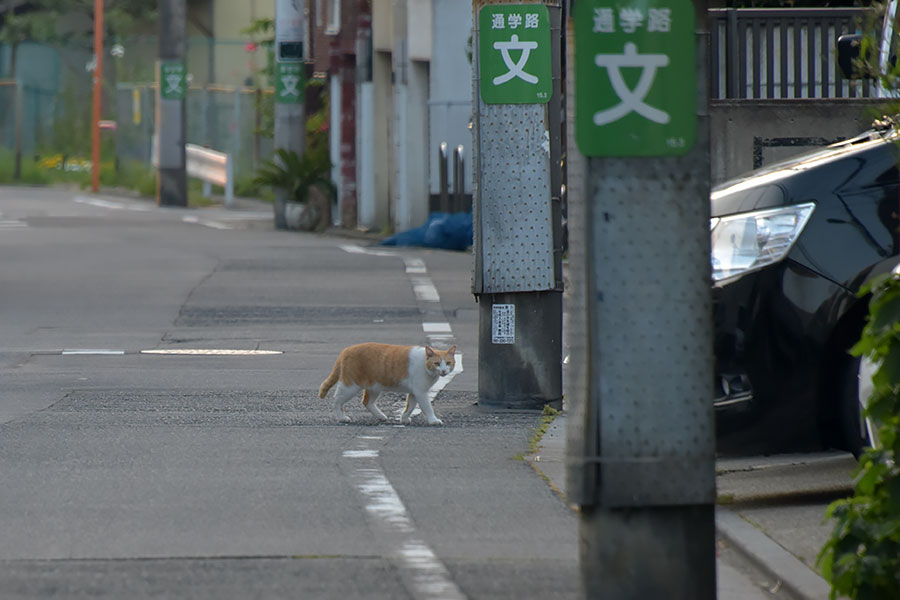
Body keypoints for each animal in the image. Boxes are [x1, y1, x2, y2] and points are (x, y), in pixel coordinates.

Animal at [318, 342, 458, 426]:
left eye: (448, 363)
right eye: (437, 363)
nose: (444, 370)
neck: (425, 365)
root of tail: (346, 350)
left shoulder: (415, 392)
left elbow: (410, 406)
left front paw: (404, 418)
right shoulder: (421, 392)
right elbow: (427, 407)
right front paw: (433, 420)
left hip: (374, 386)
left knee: (367, 402)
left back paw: (381, 416)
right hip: (351, 386)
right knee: (337, 400)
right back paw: (341, 417)